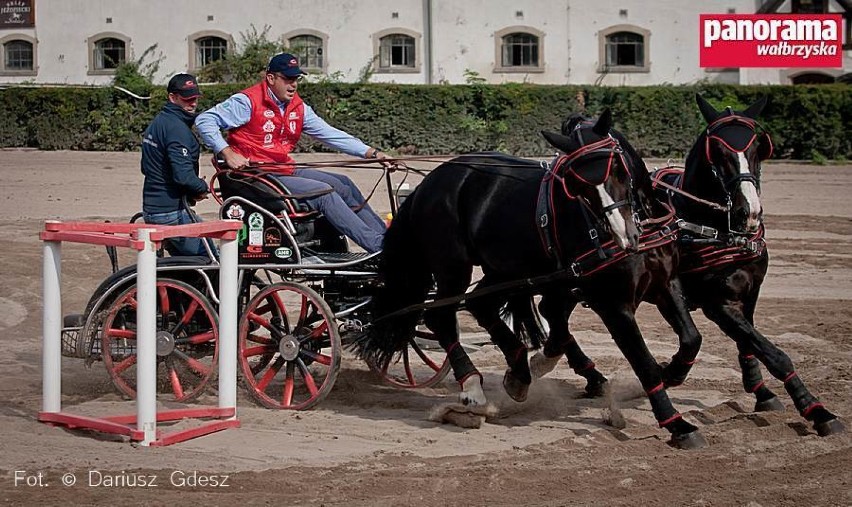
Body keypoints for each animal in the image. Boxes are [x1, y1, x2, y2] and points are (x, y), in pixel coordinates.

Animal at [352, 111, 704, 448]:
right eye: (577, 184)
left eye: (617, 167)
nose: (622, 234)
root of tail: (432, 182)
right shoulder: (612, 302)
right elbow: (642, 362)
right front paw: (677, 424)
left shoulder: (664, 284)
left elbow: (690, 338)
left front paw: (670, 373)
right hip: (454, 265)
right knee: (441, 316)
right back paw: (473, 386)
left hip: (503, 268)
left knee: (482, 306)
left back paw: (519, 369)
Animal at [536, 97, 844, 438]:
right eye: (718, 153)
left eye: (757, 148)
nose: (749, 211)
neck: (714, 227)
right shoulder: (716, 303)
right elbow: (773, 354)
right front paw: (815, 409)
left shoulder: (748, 292)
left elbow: (750, 344)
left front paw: (761, 390)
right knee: (552, 311)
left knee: (553, 312)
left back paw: (580, 370)